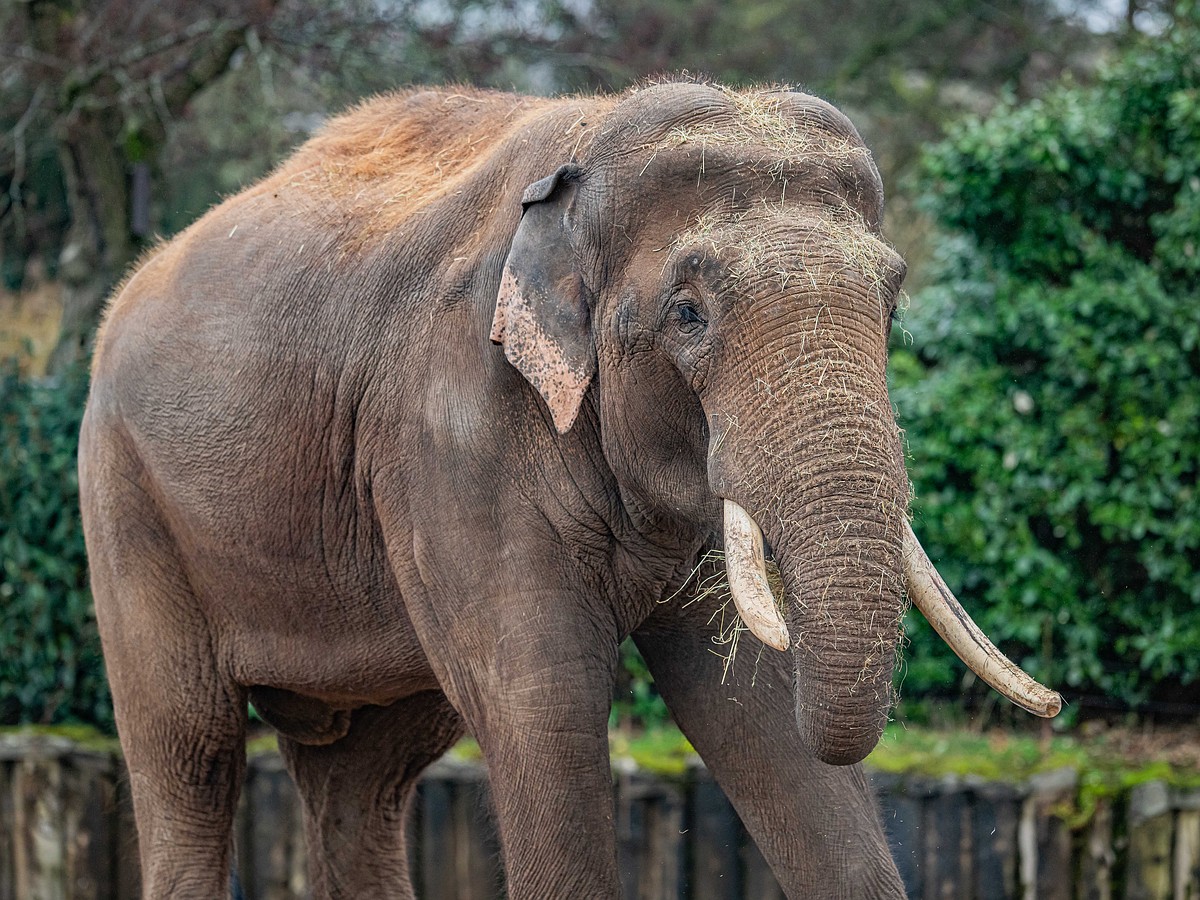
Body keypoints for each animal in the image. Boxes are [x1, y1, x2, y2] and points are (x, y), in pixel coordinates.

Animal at [77, 81, 1060, 897]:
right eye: (688, 314)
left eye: (892, 306)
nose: (1053, 705)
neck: (584, 150)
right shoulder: (448, 429)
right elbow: (545, 705)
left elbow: (759, 706)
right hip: (125, 497)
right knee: (189, 749)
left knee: (366, 776)